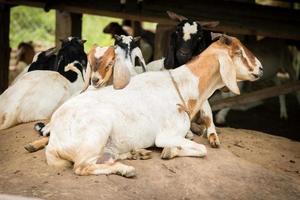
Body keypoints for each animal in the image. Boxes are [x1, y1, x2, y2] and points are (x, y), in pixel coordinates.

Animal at [45, 35, 262, 177]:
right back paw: (126, 169)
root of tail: (53, 142)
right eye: (239, 52)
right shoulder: (166, 135)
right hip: (96, 135)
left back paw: (137, 154)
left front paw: (168, 151)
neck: (181, 85)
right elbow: (202, 149)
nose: (260, 69)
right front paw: (170, 151)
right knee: (82, 167)